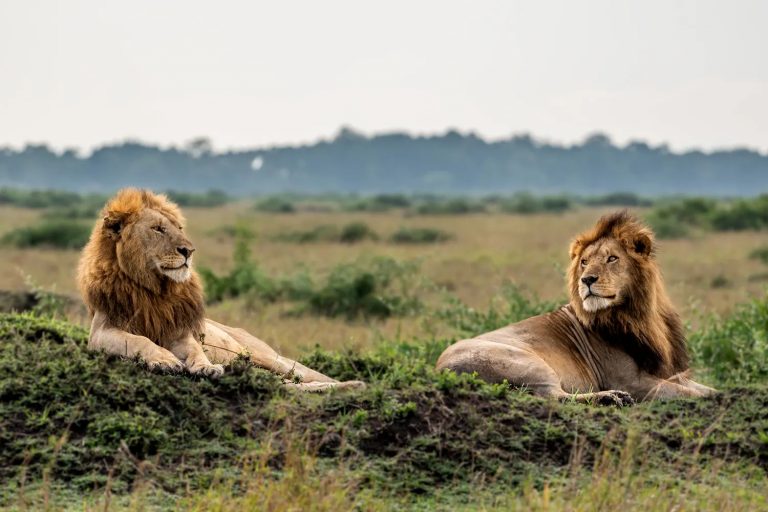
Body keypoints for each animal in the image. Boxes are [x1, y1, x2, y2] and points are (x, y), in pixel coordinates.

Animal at [78, 190, 366, 390]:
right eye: (158, 229)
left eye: (179, 228)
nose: (188, 251)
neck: (153, 289)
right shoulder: (102, 331)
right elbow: (139, 340)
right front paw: (164, 360)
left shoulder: (179, 333)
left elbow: (195, 349)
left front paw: (206, 367)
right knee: (296, 384)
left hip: (268, 357)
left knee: (302, 376)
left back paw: (355, 385)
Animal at [436, 212, 716, 404]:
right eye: (584, 262)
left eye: (612, 258)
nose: (587, 279)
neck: (640, 315)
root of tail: (440, 368)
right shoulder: (633, 381)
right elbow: (690, 394)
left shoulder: (668, 373)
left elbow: (706, 389)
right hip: (526, 362)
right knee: (555, 396)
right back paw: (611, 398)